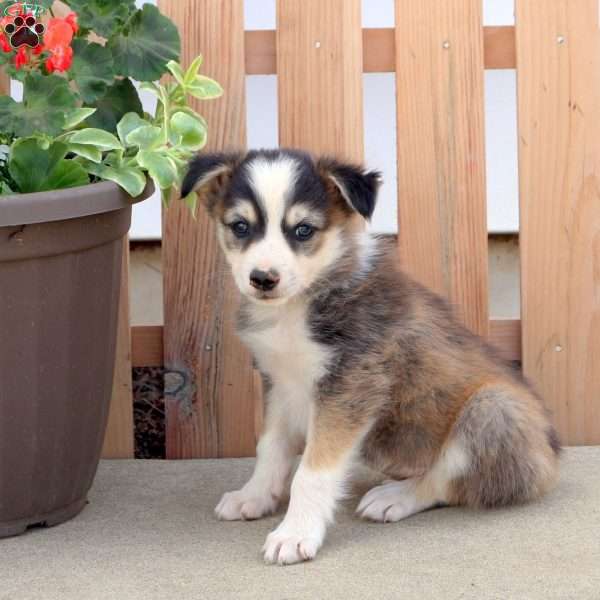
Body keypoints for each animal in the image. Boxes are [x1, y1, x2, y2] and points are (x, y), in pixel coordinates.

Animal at [180, 148, 560, 564]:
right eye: (240, 226)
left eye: (303, 230)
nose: (263, 278)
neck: (300, 305)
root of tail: (552, 453)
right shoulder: (281, 382)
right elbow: (271, 448)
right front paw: (255, 496)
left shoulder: (349, 386)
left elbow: (311, 472)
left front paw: (295, 534)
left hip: (494, 408)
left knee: (447, 481)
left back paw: (395, 497)